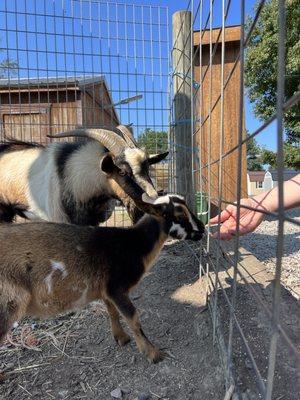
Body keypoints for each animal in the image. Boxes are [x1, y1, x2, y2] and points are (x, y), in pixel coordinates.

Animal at [0, 155, 204, 364]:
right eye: (179, 214)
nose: (203, 229)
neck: (134, 244)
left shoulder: (105, 289)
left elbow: (112, 312)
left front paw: (121, 338)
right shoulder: (116, 287)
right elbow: (133, 317)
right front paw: (153, 353)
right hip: (7, 304)